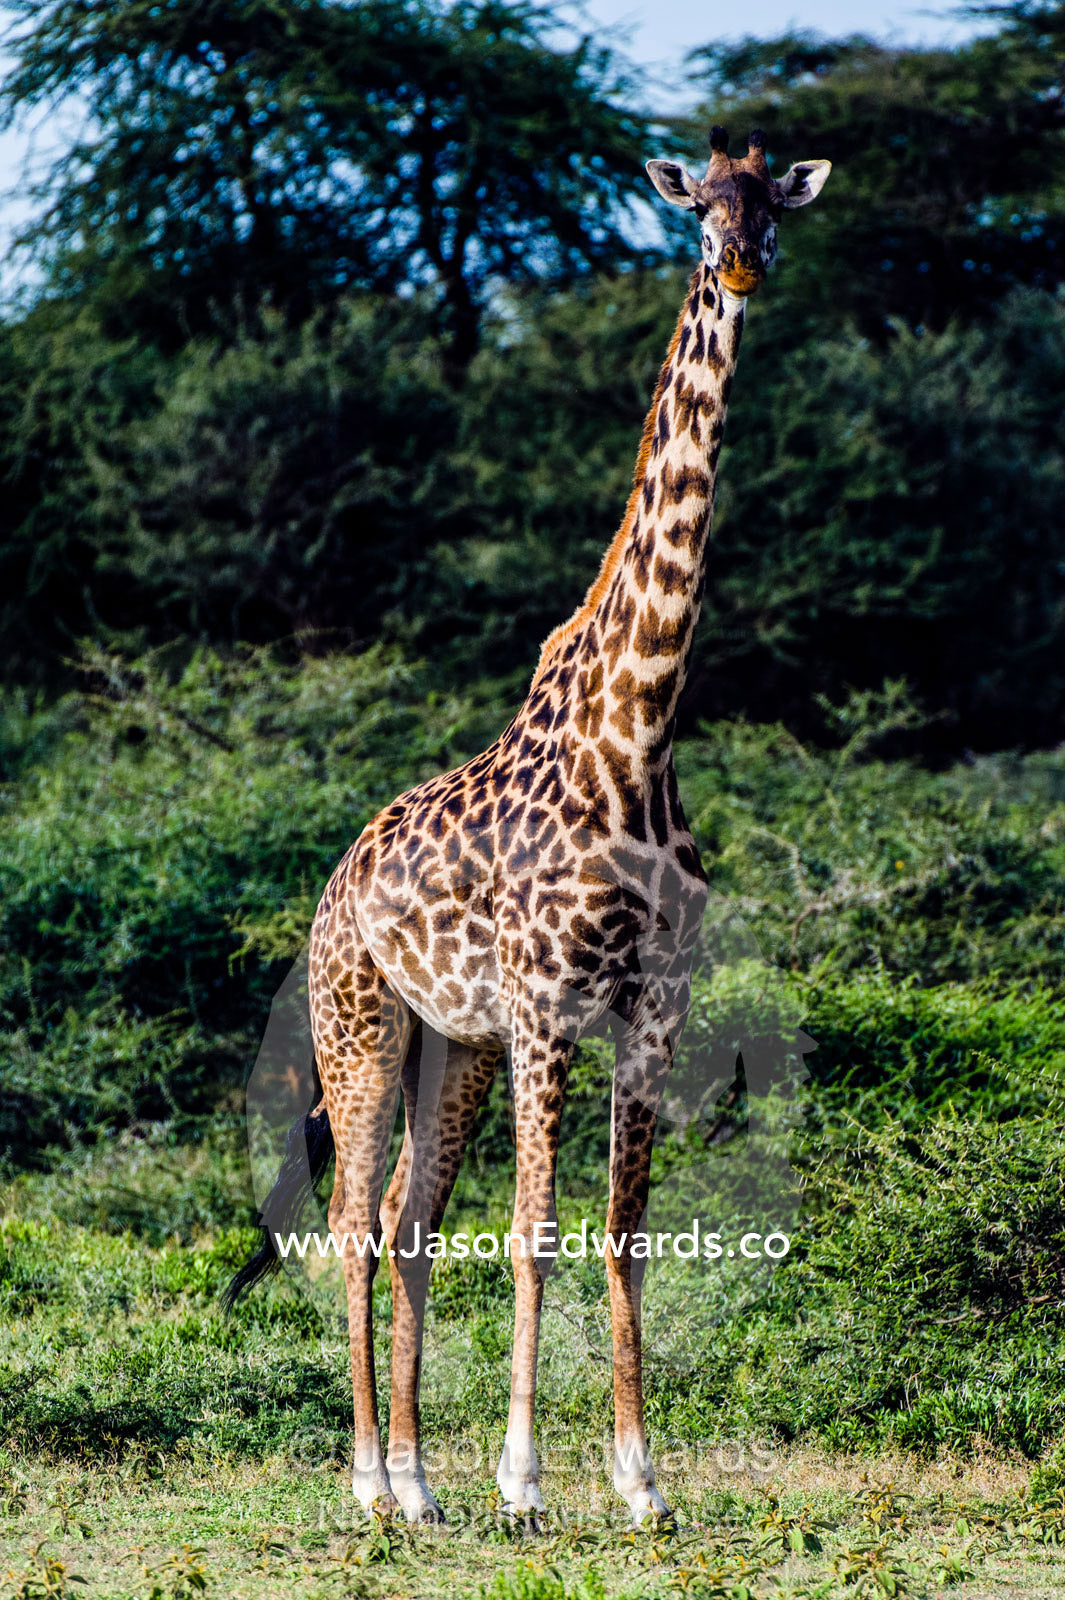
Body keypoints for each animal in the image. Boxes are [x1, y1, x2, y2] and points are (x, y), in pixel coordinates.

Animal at [227, 125, 831, 1527]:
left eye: (773, 201)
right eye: (698, 205)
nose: (742, 259)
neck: (640, 732)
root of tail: (334, 886)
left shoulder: (652, 1003)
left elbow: (622, 1227)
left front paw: (640, 1479)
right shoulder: (551, 1004)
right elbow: (535, 1230)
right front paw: (524, 1479)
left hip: (455, 1043)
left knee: (408, 1215)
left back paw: (416, 1479)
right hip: (361, 1025)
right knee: (356, 1217)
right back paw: (368, 1482)